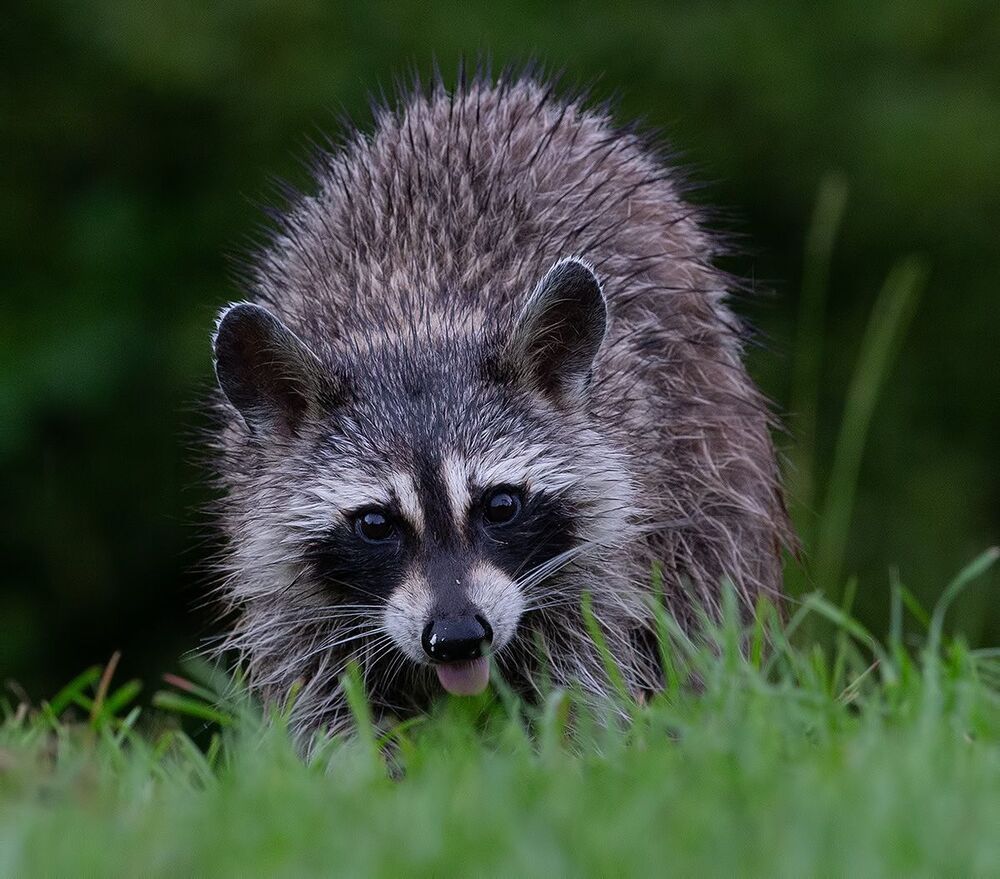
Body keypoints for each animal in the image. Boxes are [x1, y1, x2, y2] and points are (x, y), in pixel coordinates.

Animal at [208, 72, 790, 737]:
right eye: (376, 523)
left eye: (501, 505)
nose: (459, 636)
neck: (417, 321)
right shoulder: (282, 570)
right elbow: (321, 696)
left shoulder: (608, 529)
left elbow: (587, 665)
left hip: (710, 433)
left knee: (708, 589)